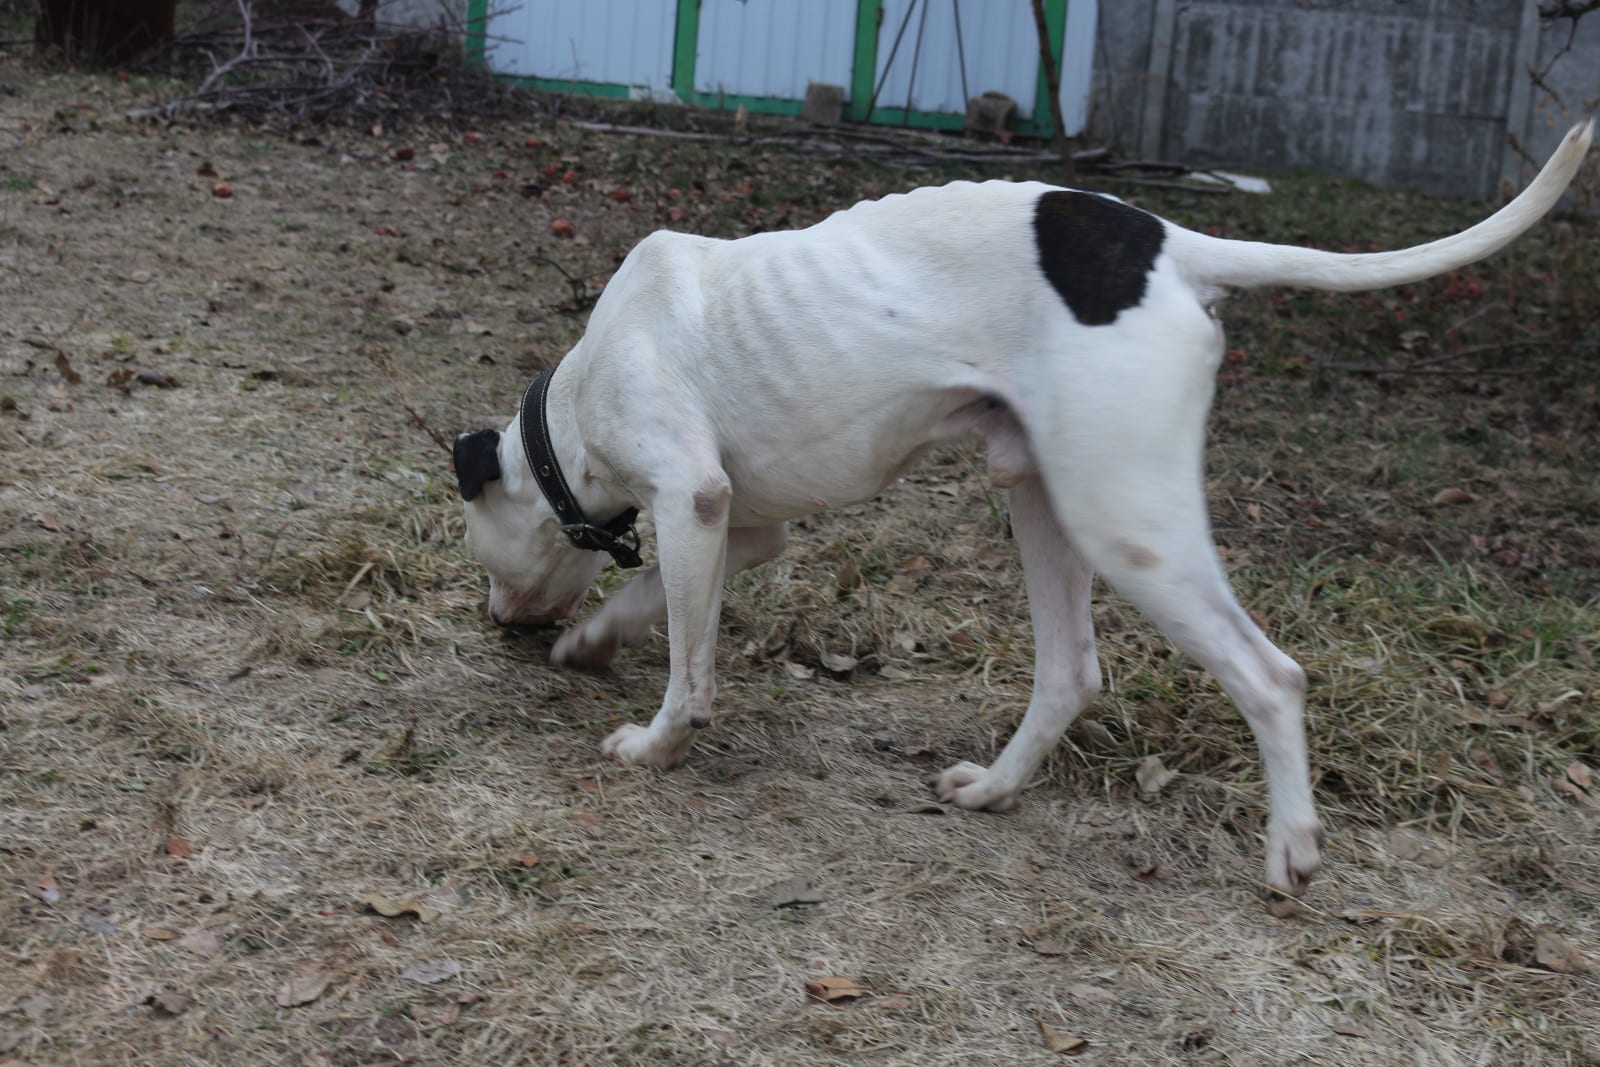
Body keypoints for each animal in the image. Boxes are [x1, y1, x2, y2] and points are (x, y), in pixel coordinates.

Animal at [457, 120, 1593, 895]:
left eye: (477, 547)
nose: (497, 620)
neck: (575, 399)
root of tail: (1172, 243)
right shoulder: (740, 523)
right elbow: (653, 596)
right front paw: (593, 639)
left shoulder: (694, 500)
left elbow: (686, 663)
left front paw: (655, 744)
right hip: (1047, 504)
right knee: (1070, 670)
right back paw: (995, 790)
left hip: (1125, 524)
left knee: (1271, 677)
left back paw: (1292, 849)